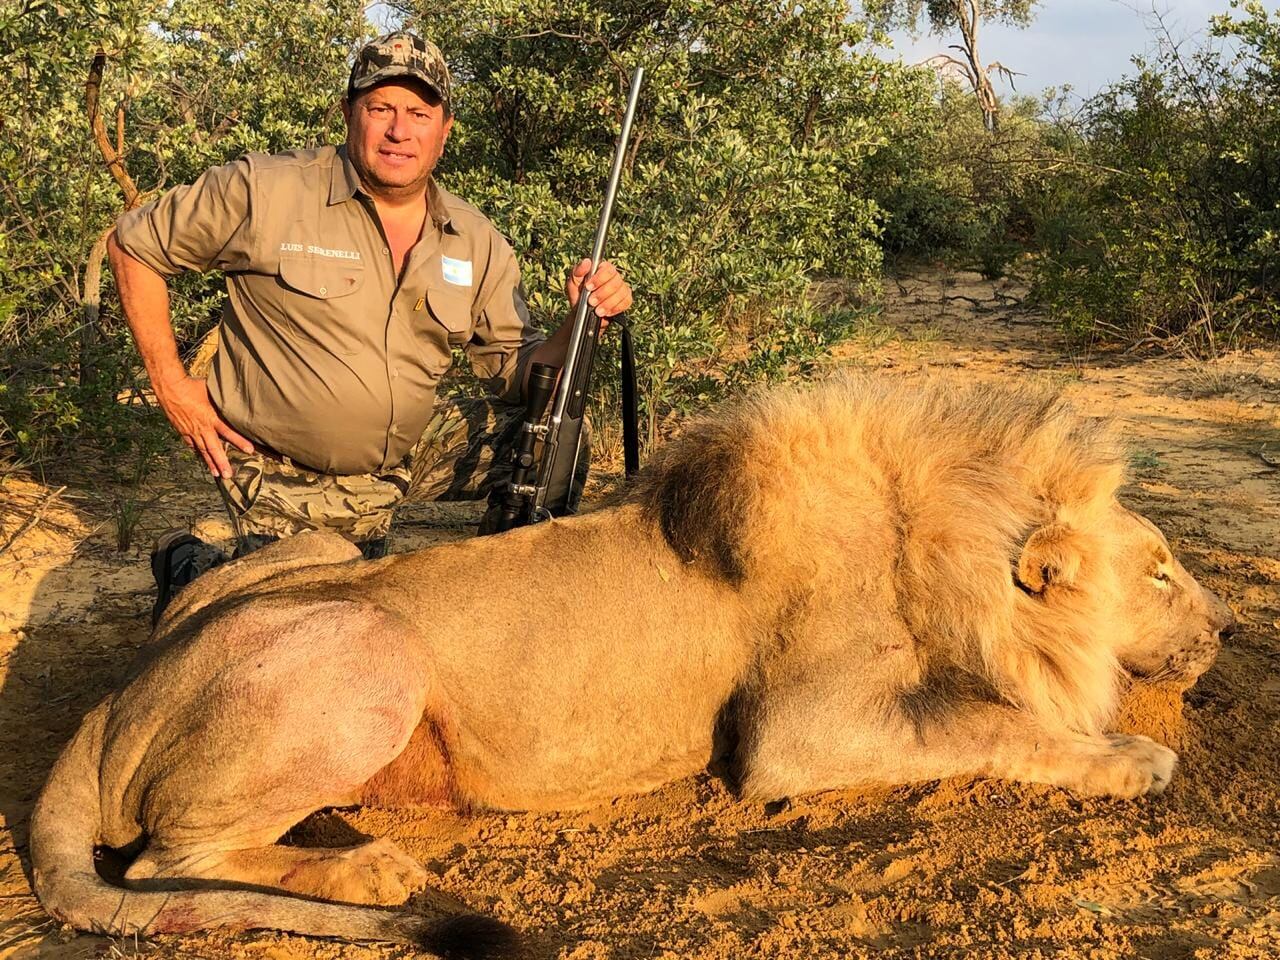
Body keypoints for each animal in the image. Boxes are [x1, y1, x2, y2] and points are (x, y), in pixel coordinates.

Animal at [27, 373, 1228, 957]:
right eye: (1161, 573)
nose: (1224, 631)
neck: (931, 543)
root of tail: (113, 702)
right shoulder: (798, 737)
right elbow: (996, 723)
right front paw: (1132, 757)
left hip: (312, 566)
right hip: (370, 644)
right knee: (166, 861)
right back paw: (369, 871)